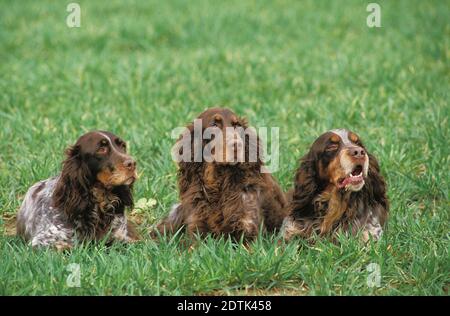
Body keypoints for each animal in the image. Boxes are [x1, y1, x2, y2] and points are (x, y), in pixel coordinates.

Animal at [155, 107, 286, 239]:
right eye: (214, 124)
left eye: (237, 125)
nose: (237, 145)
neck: (219, 182)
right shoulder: (197, 228)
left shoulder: (247, 229)